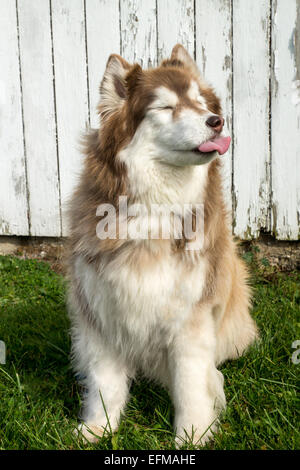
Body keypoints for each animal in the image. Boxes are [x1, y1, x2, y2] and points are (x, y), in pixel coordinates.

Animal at [67, 43, 258, 444]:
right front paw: (98, 427)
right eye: (167, 107)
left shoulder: (192, 317)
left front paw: (192, 435)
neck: (155, 210)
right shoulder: (102, 311)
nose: (217, 120)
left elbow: (190, 384)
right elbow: (106, 381)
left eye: (201, 104)